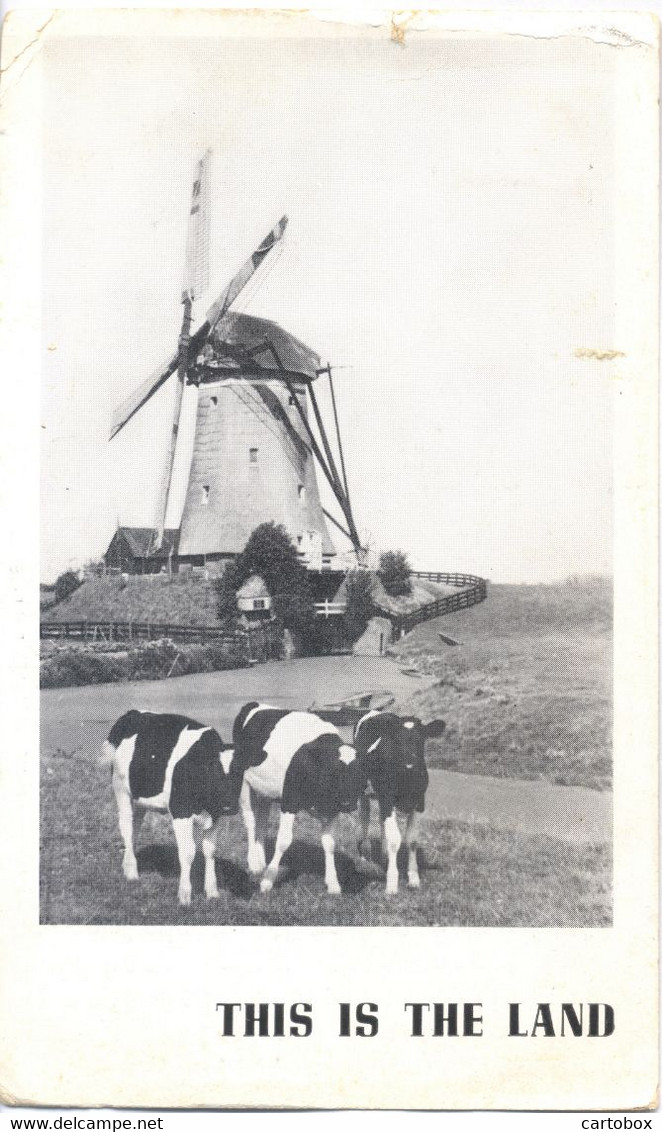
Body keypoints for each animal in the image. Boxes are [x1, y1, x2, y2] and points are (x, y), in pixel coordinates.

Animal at [100, 710, 239, 905]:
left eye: (240, 771)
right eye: (211, 770)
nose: (229, 806)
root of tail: (133, 714)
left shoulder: (215, 815)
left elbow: (210, 850)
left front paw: (212, 892)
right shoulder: (181, 812)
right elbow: (188, 853)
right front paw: (185, 895)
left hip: (140, 799)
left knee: (135, 827)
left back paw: (129, 863)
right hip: (121, 789)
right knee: (126, 827)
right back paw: (132, 872)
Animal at [231, 697, 366, 892]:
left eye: (360, 772)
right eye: (333, 771)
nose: (348, 803)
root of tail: (255, 704)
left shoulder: (332, 808)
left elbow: (329, 843)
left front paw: (333, 883)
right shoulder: (289, 800)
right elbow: (283, 841)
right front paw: (268, 881)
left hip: (266, 789)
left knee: (262, 820)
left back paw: (262, 861)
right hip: (243, 780)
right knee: (250, 821)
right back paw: (255, 864)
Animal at [350, 710, 443, 896]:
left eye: (421, 739)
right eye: (397, 740)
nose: (409, 764)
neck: (407, 778)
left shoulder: (419, 802)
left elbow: (412, 840)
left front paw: (413, 878)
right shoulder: (388, 799)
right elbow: (395, 840)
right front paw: (392, 883)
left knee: (381, 822)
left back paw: (384, 855)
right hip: (364, 792)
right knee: (364, 818)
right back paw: (364, 858)